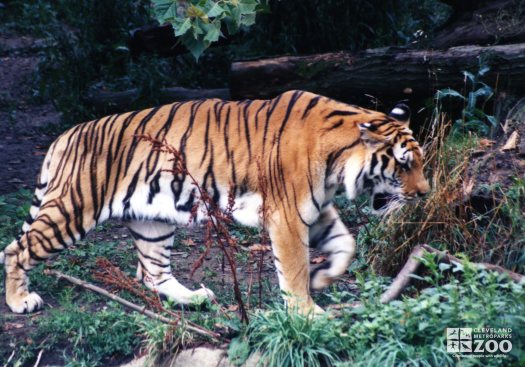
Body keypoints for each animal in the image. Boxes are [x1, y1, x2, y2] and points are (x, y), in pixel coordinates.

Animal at [0, 90, 428, 314]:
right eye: (405, 164)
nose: (424, 193)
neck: (338, 166)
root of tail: (67, 135)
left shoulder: (316, 209)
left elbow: (346, 244)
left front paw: (323, 276)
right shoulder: (288, 216)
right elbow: (292, 269)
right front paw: (308, 313)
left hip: (153, 223)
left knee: (154, 273)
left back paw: (193, 298)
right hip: (72, 209)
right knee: (15, 249)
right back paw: (21, 301)